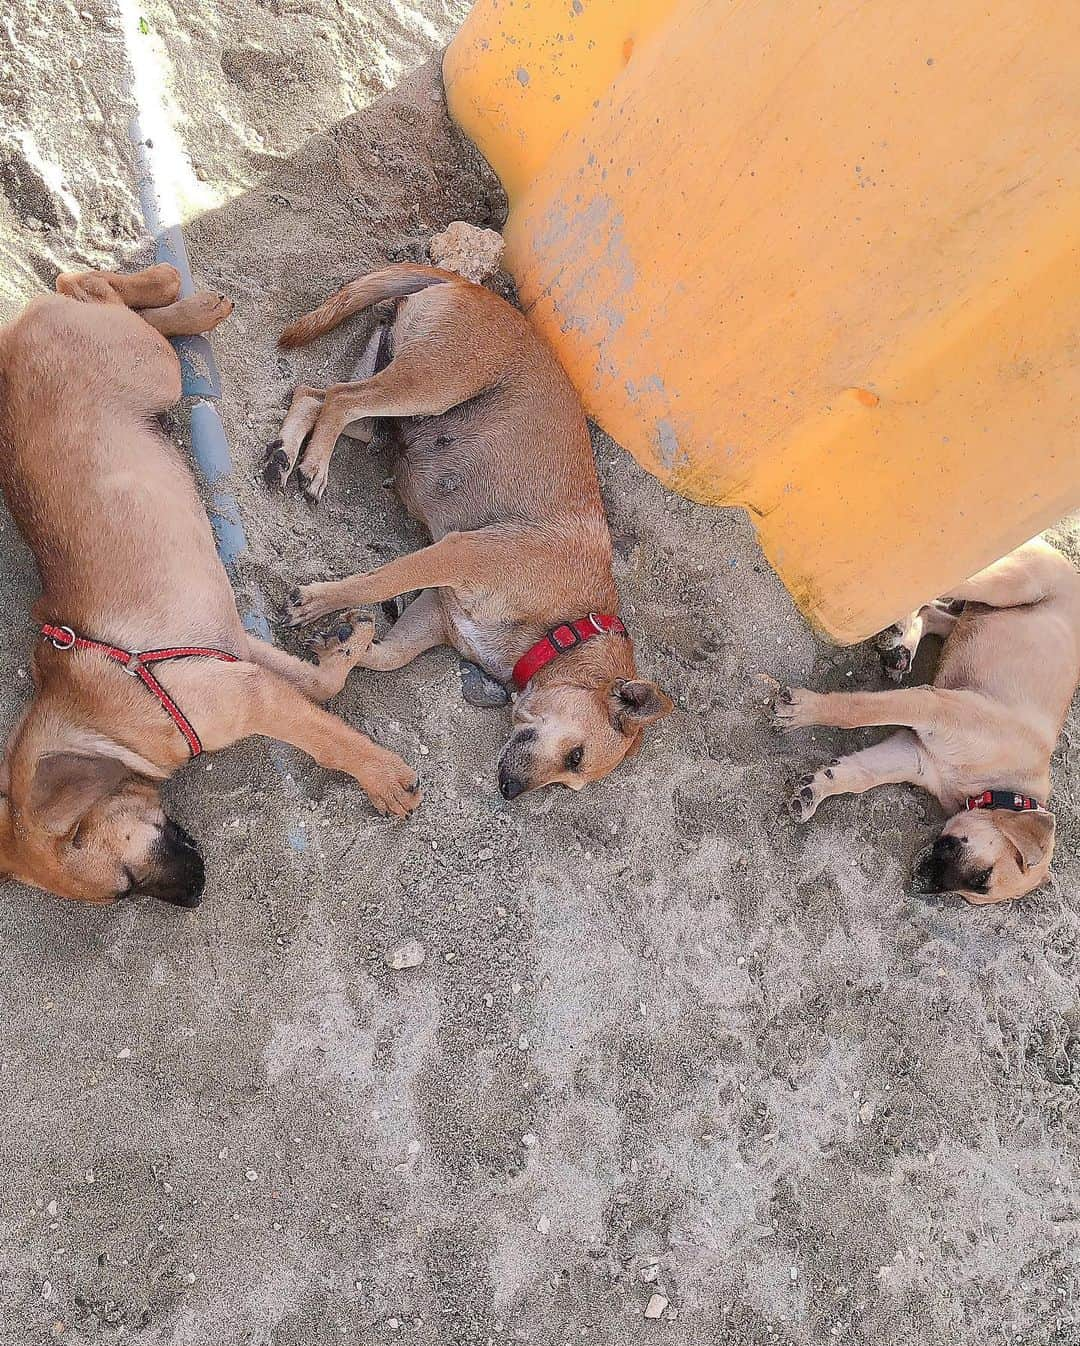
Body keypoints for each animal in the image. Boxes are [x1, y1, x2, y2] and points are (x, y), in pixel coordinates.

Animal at [0, 265, 417, 904]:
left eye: (124, 884)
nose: (195, 897)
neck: (100, 732)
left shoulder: (249, 697)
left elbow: (327, 738)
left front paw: (383, 777)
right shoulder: (238, 654)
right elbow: (320, 687)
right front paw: (347, 648)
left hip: (151, 370)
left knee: (89, 285)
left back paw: (184, 299)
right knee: (83, 286)